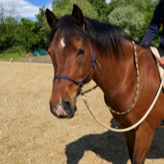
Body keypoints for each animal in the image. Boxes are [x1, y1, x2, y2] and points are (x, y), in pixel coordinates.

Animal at [45, 4, 164, 163]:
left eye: (81, 51)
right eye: (50, 52)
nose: (59, 107)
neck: (130, 79)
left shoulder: (145, 131)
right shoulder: (127, 129)